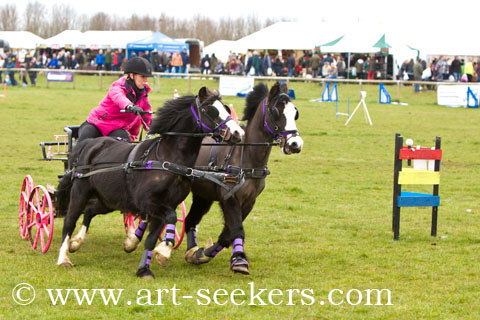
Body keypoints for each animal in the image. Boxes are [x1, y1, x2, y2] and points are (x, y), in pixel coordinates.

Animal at [55, 86, 244, 278]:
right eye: (210, 110)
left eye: (226, 109)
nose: (238, 133)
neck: (168, 159)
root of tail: (88, 144)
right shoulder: (148, 203)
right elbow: (171, 218)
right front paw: (164, 250)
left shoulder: (165, 205)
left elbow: (151, 238)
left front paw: (144, 269)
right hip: (80, 193)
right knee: (69, 222)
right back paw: (63, 258)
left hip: (109, 200)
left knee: (90, 211)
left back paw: (76, 242)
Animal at [182, 81, 302, 274]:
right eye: (276, 111)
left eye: (295, 112)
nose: (295, 144)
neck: (247, 157)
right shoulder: (229, 197)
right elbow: (237, 229)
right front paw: (239, 260)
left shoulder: (249, 201)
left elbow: (227, 234)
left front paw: (203, 253)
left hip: (203, 196)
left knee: (190, 220)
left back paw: (191, 251)